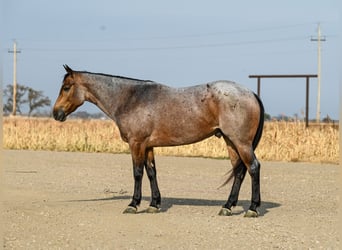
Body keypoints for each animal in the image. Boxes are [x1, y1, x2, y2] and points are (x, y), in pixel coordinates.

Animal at [52, 64, 264, 217]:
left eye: (66, 87)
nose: (56, 113)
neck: (130, 98)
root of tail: (250, 93)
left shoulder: (136, 144)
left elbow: (137, 173)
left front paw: (133, 204)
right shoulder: (147, 146)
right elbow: (151, 172)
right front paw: (154, 204)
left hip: (241, 142)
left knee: (253, 167)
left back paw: (252, 208)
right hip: (230, 141)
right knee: (239, 171)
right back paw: (227, 206)